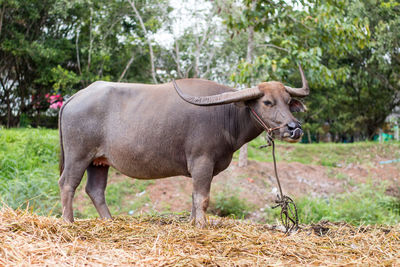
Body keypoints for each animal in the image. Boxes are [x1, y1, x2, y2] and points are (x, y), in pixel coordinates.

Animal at [58, 65, 310, 228]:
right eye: (267, 102)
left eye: (288, 101)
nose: (294, 128)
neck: (225, 113)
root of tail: (73, 98)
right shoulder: (202, 160)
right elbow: (203, 197)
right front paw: (202, 225)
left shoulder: (202, 168)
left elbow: (194, 196)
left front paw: (192, 222)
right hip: (78, 155)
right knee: (67, 184)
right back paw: (69, 222)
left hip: (99, 161)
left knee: (95, 190)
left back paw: (109, 221)